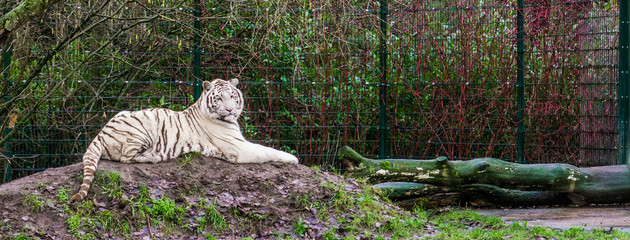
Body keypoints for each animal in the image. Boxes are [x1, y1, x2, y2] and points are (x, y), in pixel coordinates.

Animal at [73, 78, 300, 201]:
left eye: (232, 96)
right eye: (219, 98)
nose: (229, 110)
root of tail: (100, 133)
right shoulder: (239, 148)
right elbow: (266, 150)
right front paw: (293, 158)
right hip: (141, 130)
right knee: (125, 158)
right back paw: (154, 157)